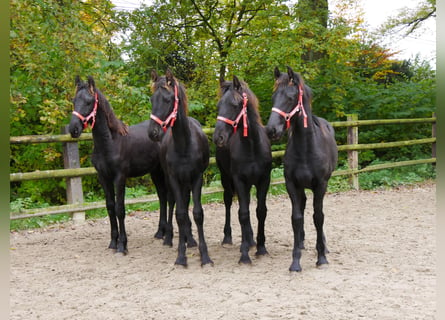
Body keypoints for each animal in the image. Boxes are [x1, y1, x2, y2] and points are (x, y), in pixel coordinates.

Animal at [69, 76, 173, 254]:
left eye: (89, 102)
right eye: (74, 100)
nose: (73, 129)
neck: (110, 142)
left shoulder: (120, 178)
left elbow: (120, 209)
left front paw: (122, 245)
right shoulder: (103, 177)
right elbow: (110, 207)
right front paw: (113, 242)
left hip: (165, 171)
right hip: (155, 172)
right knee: (162, 196)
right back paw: (160, 232)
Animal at [148, 69, 212, 268]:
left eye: (168, 99)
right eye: (152, 99)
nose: (152, 132)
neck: (184, 144)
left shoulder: (196, 178)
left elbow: (198, 213)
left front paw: (205, 256)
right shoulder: (174, 178)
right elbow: (180, 214)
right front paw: (181, 256)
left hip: (187, 183)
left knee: (184, 202)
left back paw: (189, 238)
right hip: (171, 181)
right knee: (171, 203)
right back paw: (170, 238)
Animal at [212, 75, 270, 264]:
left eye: (236, 104)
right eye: (218, 106)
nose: (218, 137)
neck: (252, 147)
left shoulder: (263, 181)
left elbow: (260, 211)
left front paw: (261, 248)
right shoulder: (239, 180)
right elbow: (243, 213)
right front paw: (244, 254)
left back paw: (251, 240)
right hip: (226, 179)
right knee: (230, 203)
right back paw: (228, 238)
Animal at [266, 67, 334, 272]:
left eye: (290, 97)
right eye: (273, 97)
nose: (271, 130)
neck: (306, 149)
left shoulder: (321, 185)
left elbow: (318, 217)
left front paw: (321, 257)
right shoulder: (292, 184)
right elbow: (296, 218)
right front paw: (295, 261)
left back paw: (324, 246)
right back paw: (302, 242)